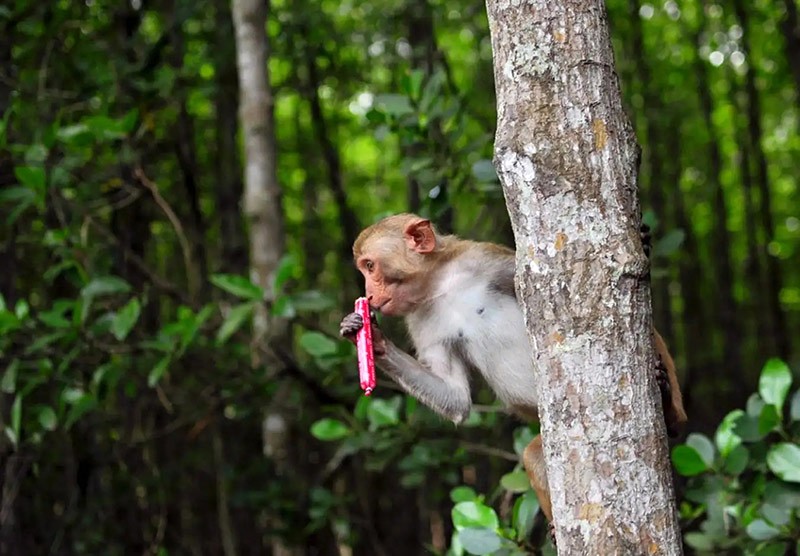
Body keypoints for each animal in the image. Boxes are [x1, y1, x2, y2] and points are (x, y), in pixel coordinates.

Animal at [338, 213, 688, 524]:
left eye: (370, 266)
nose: (368, 294)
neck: (439, 285)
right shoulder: (420, 320)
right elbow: (455, 399)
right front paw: (369, 337)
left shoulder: (485, 259)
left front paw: (644, 244)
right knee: (532, 457)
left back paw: (669, 407)